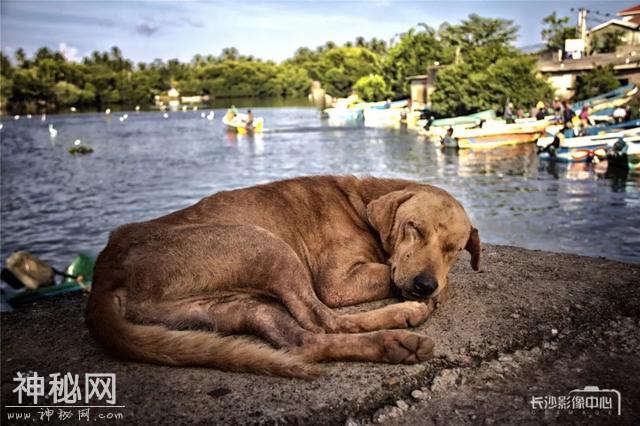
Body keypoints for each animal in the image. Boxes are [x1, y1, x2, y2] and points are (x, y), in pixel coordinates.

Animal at [85, 176, 478, 376]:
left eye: (454, 249)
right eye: (414, 228)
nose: (424, 285)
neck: (363, 203)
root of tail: (104, 267)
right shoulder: (338, 281)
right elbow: (387, 277)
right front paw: (436, 292)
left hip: (221, 306)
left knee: (301, 340)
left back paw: (394, 343)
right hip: (266, 245)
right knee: (323, 320)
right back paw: (403, 320)